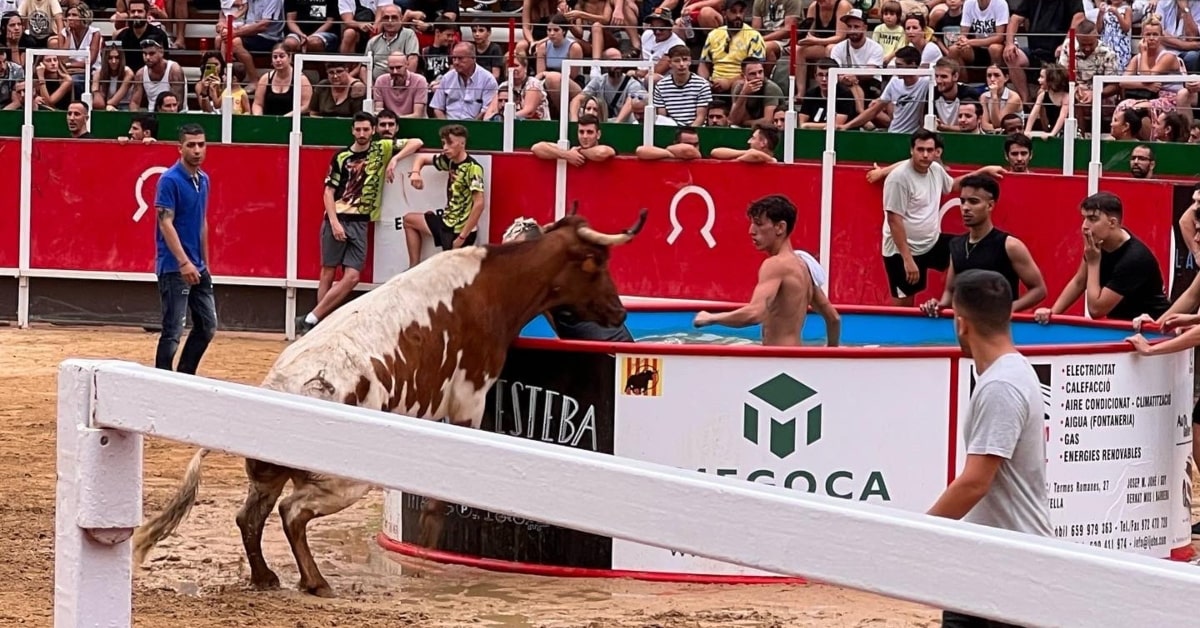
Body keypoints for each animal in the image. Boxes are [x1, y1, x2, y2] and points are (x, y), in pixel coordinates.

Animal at [131, 208, 648, 597]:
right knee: (292, 513)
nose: (620, 311)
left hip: (268, 475)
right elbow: (438, 501)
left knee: (250, 517)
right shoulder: (467, 402)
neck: (491, 285)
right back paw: (316, 582)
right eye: (597, 262)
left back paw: (266, 578)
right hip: (343, 481)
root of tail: (275, 389)